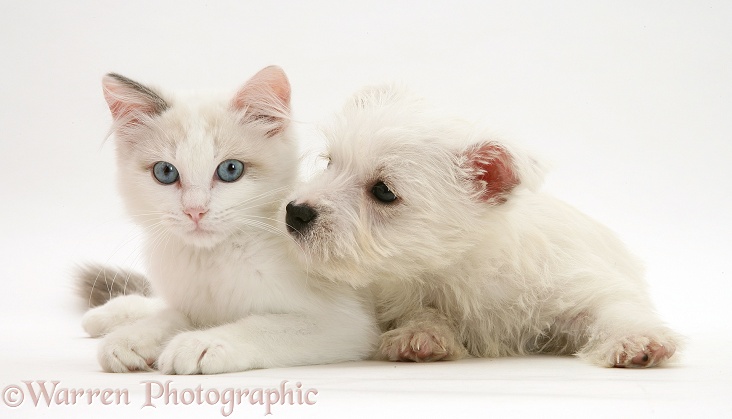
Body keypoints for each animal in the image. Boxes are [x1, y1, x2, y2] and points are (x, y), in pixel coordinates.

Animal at [80, 67, 378, 376]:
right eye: (165, 172)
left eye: (230, 170)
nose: (195, 211)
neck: (212, 261)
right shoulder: (193, 304)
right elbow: (172, 316)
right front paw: (133, 338)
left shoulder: (344, 323)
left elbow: (260, 326)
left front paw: (201, 343)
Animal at [284, 87, 680, 370]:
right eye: (330, 164)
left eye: (383, 191)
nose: (294, 213)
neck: (463, 265)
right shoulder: (403, 292)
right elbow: (420, 310)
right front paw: (420, 334)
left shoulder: (578, 284)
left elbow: (614, 307)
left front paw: (637, 341)